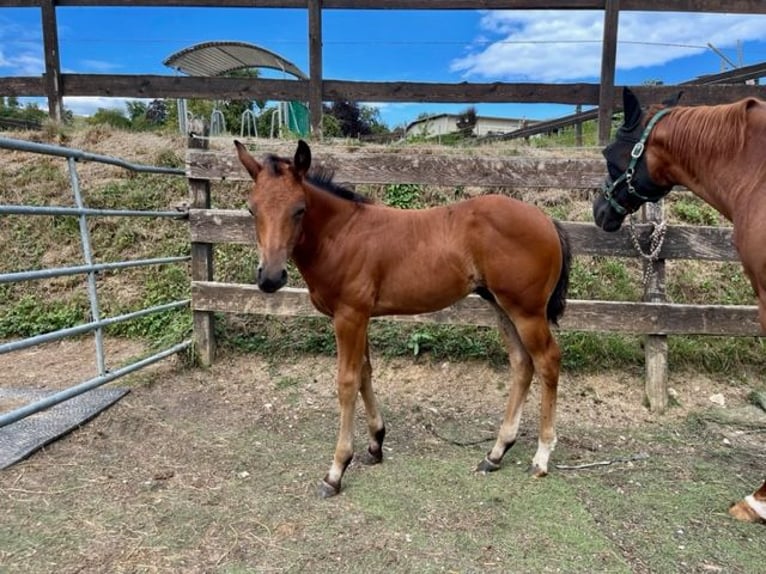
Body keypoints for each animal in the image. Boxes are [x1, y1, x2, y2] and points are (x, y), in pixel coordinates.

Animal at [237, 141, 572, 500]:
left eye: (299, 209)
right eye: (252, 210)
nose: (270, 278)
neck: (341, 234)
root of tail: (547, 221)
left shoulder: (349, 316)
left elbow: (347, 382)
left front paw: (336, 470)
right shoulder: (361, 317)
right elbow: (365, 373)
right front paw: (375, 444)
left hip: (526, 311)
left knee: (548, 360)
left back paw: (541, 457)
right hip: (501, 306)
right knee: (522, 363)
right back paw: (496, 453)